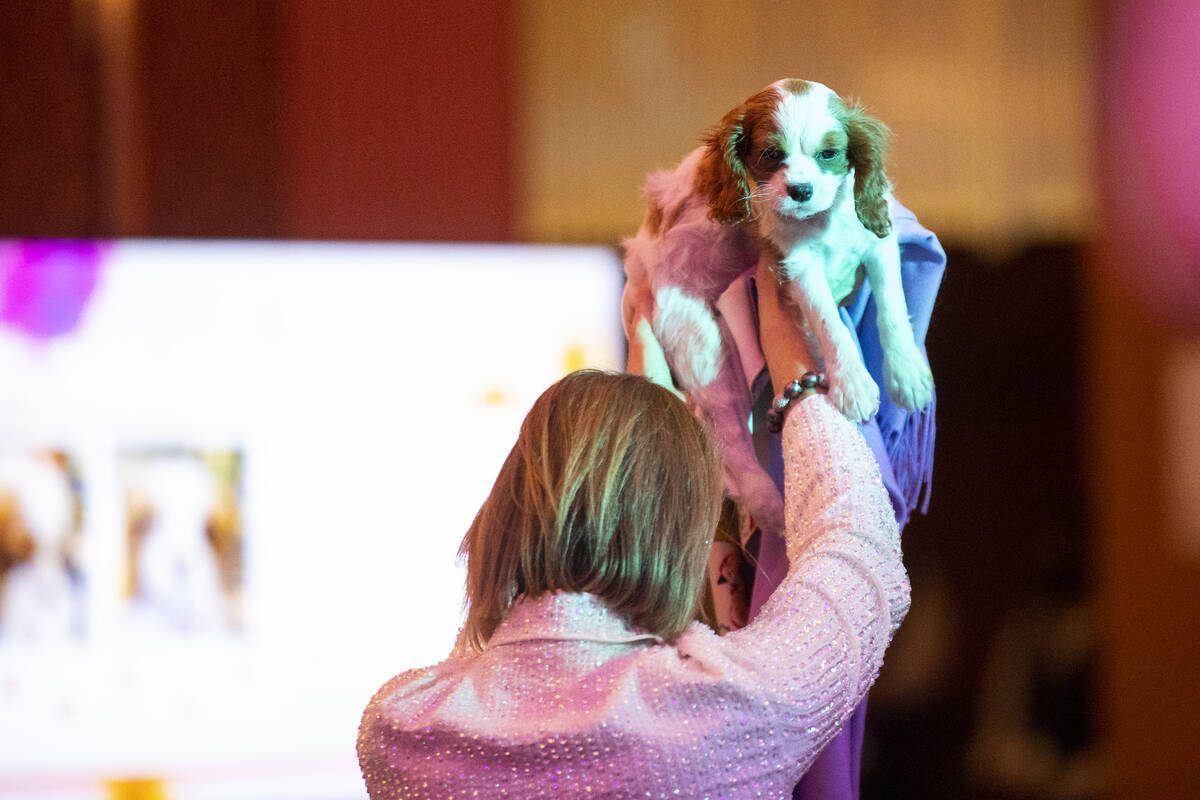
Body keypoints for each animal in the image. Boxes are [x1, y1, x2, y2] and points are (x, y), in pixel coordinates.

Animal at [624, 77, 931, 534]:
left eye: (829, 155)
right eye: (771, 155)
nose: (800, 191)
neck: (821, 221)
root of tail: (637, 279)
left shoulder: (877, 242)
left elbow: (892, 309)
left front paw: (907, 374)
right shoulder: (797, 263)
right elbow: (829, 322)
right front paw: (853, 382)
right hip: (702, 341)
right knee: (729, 441)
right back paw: (771, 507)